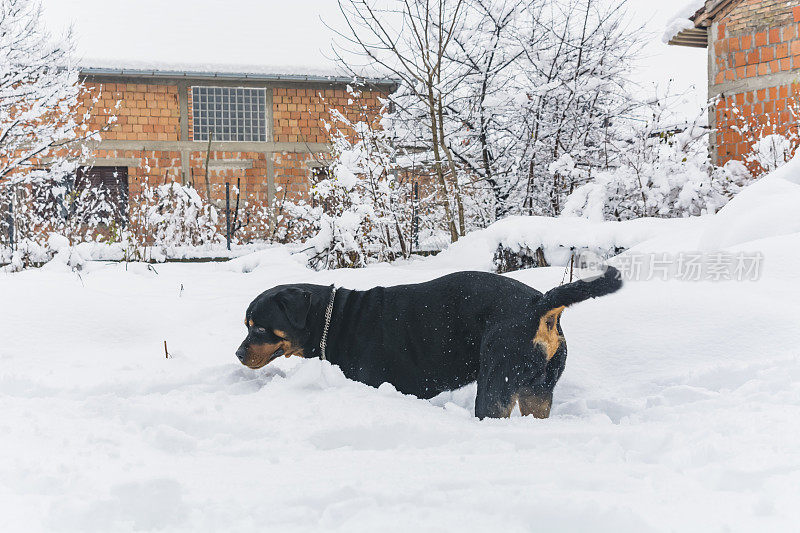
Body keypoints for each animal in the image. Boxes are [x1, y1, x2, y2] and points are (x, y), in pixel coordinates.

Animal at [234, 268, 620, 418]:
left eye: (259, 329)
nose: (238, 352)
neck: (337, 318)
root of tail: (539, 306)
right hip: (537, 391)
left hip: (495, 383)